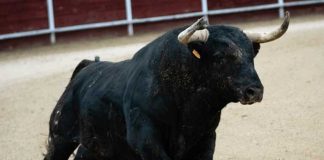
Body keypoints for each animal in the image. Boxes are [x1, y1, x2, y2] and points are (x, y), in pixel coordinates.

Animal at [45, 15, 288, 160]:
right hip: (60, 138)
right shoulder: (146, 141)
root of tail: (87, 68)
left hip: (95, 147)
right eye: (219, 57)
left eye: (251, 56)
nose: (254, 91)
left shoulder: (206, 138)